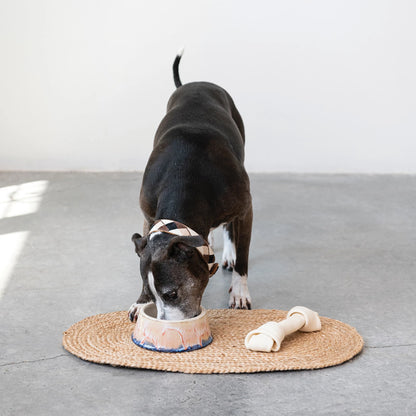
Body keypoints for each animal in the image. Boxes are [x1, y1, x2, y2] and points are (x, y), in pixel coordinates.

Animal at [130, 49, 252, 322]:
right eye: (153, 295)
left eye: (172, 294)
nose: (164, 325)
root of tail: (194, 83)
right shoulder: (147, 215)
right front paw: (140, 303)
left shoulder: (245, 209)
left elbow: (244, 255)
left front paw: (239, 292)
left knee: (230, 228)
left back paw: (229, 253)